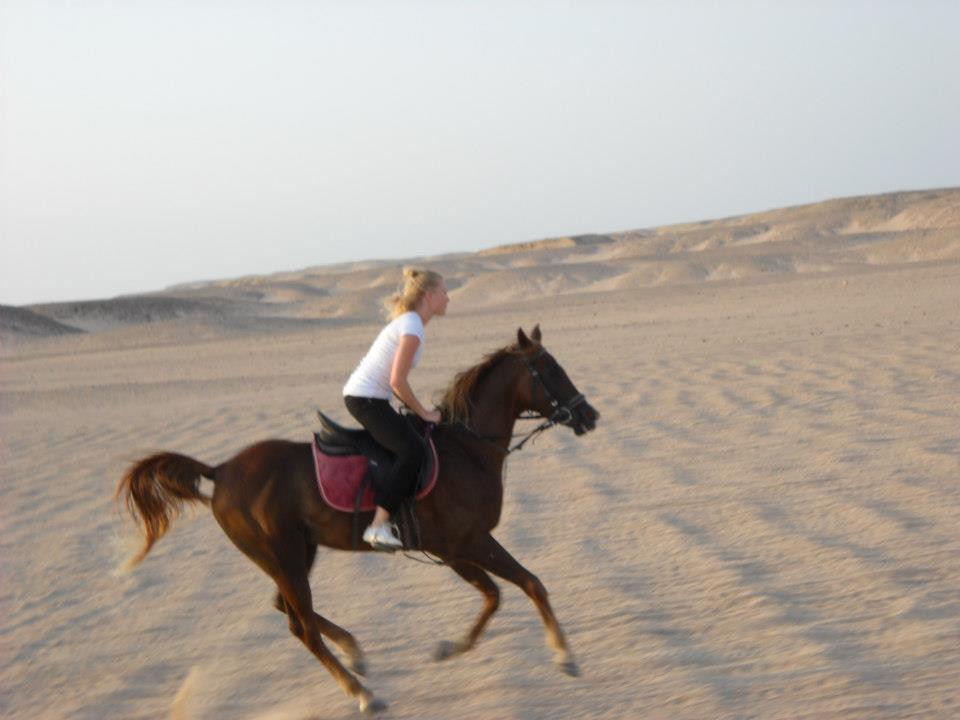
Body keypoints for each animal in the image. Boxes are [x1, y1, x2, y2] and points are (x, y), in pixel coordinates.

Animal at [117, 325, 599, 715]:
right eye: (552, 370)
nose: (589, 415)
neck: (467, 449)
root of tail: (219, 471)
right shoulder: (462, 543)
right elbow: (522, 585)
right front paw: (563, 656)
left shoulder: (456, 549)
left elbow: (500, 593)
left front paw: (451, 648)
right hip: (283, 555)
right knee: (303, 628)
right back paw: (364, 694)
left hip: (296, 553)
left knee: (287, 611)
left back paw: (355, 653)